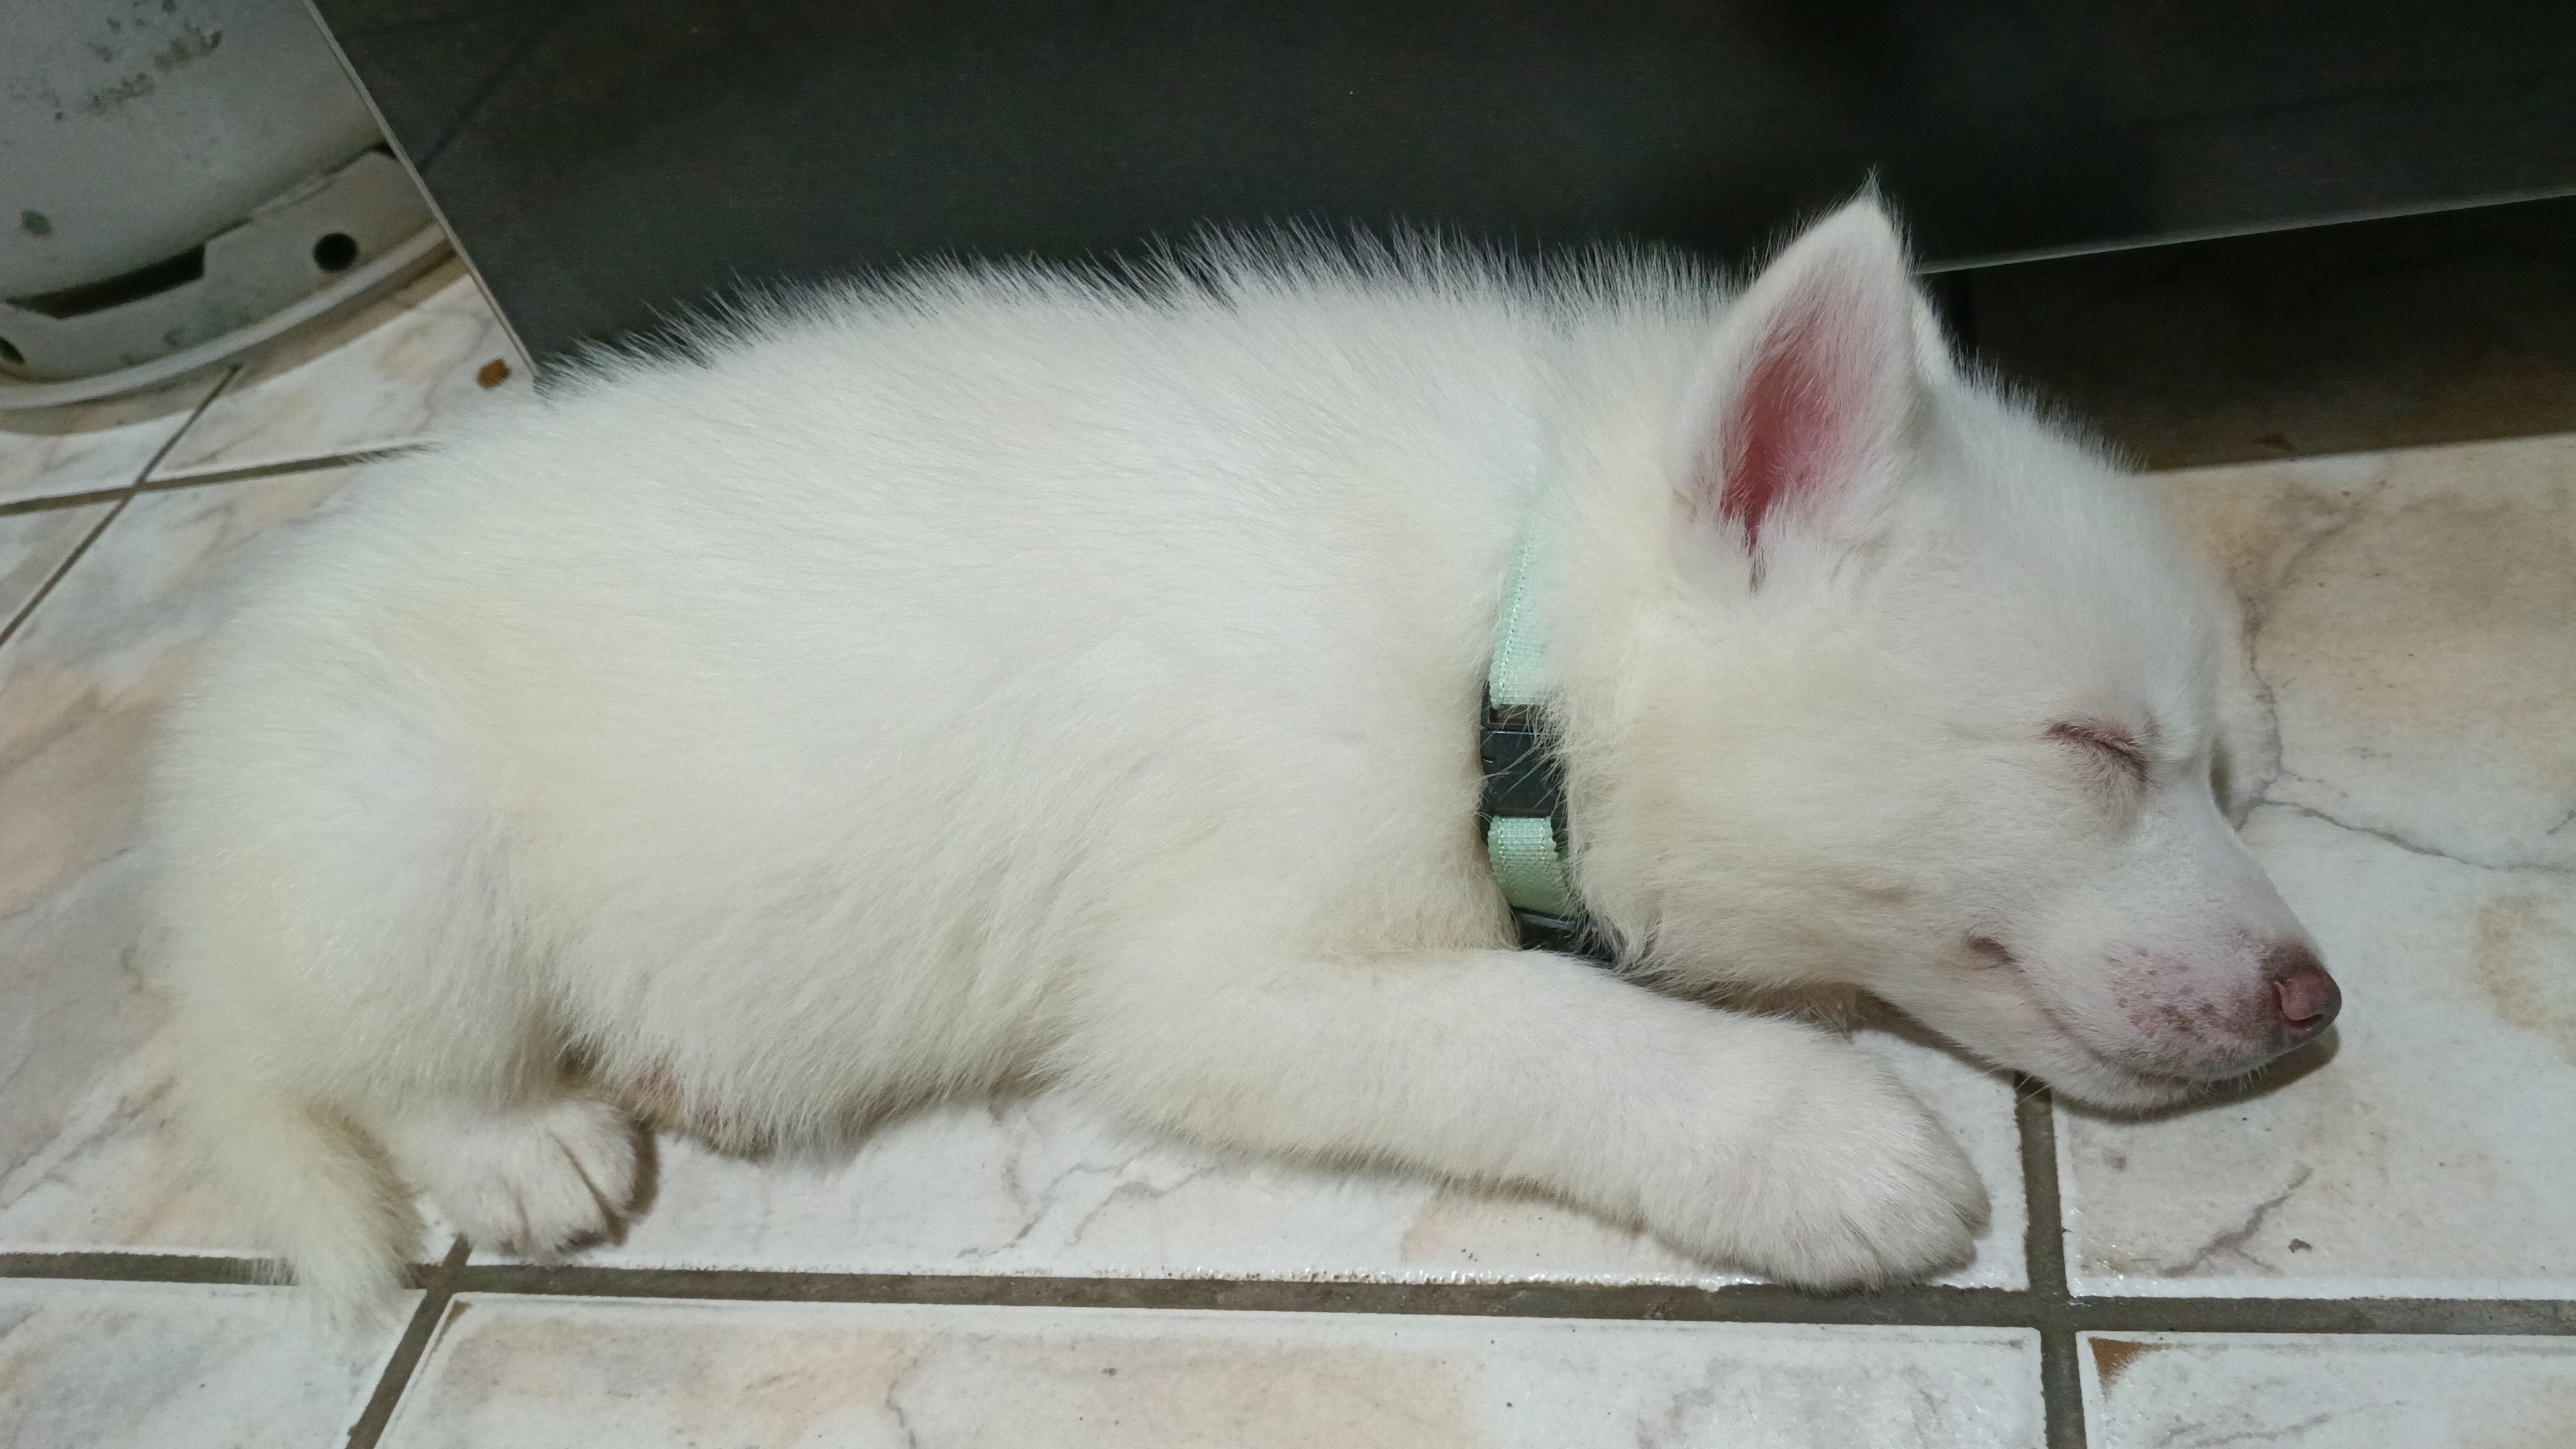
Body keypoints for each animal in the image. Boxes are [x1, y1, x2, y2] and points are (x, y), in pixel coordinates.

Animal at [149, 197, 2338, 1322]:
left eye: (2227, 775)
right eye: (2094, 749)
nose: (2315, 1000)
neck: (1499, 631)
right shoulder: (1208, 978)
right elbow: (1539, 1027)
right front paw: (1807, 1144)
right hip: (390, 829)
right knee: (385, 1060)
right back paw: (520, 1142)